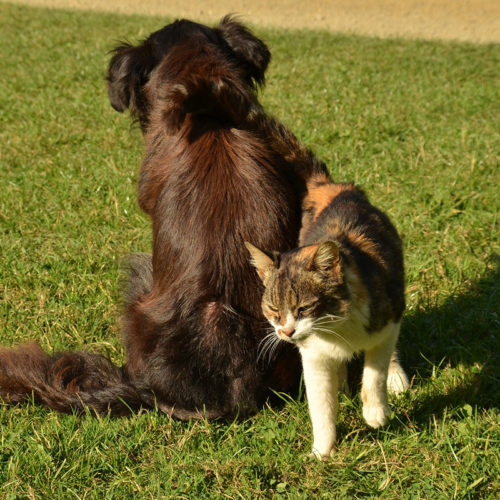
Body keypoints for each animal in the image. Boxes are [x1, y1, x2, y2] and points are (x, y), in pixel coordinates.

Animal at [244, 174, 408, 458]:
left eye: (304, 308)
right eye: (274, 309)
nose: (286, 332)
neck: (336, 326)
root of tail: (336, 188)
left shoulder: (387, 321)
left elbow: (375, 370)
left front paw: (375, 412)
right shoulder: (313, 356)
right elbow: (320, 406)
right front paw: (321, 451)